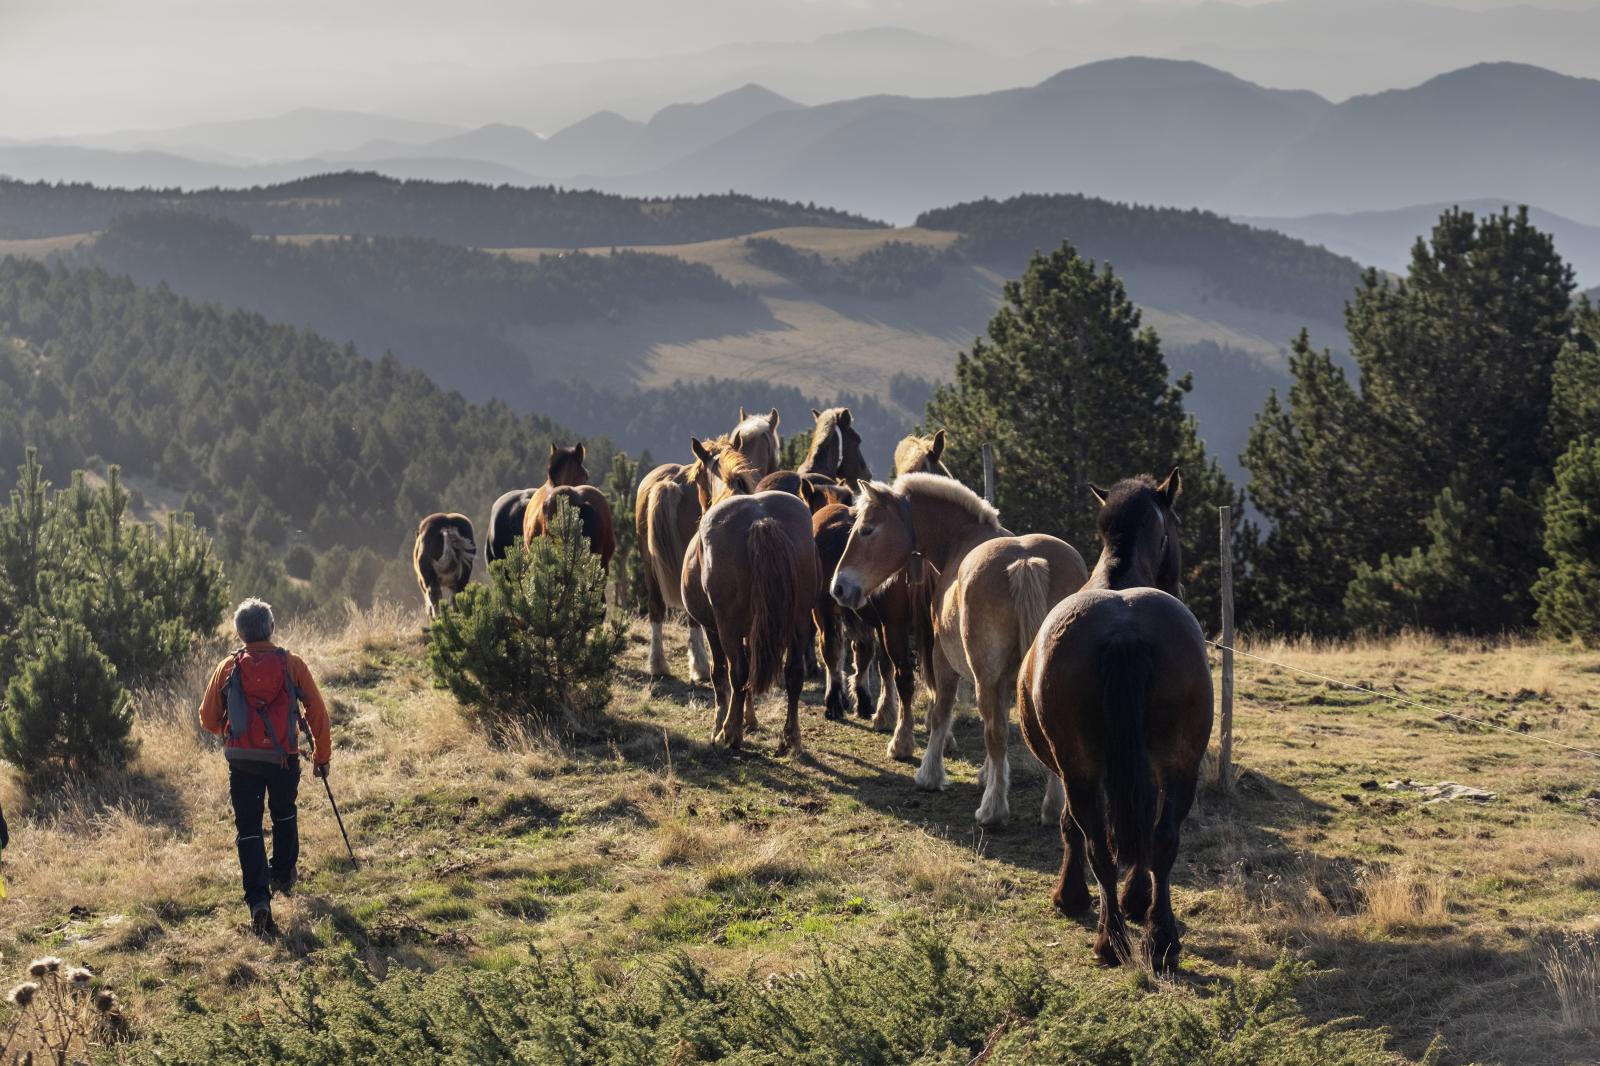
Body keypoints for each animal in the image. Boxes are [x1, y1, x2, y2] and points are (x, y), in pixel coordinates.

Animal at [825, 470, 1088, 819]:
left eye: (866, 529)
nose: (838, 587)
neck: (962, 538)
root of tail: (1026, 562)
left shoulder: (944, 660)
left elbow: (941, 711)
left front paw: (930, 774)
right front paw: (988, 774)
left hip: (982, 678)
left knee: (995, 732)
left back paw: (993, 808)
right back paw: (1054, 805)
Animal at [1017, 467, 1203, 973]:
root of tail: (1124, 630)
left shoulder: (1071, 769)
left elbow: (1070, 825)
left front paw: (1072, 895)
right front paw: (1133, 899)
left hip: (1083, 770)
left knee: (1100, 841)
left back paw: (1112, 938)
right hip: (1180, 765)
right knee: (1161, 839)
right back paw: (1160, 940)